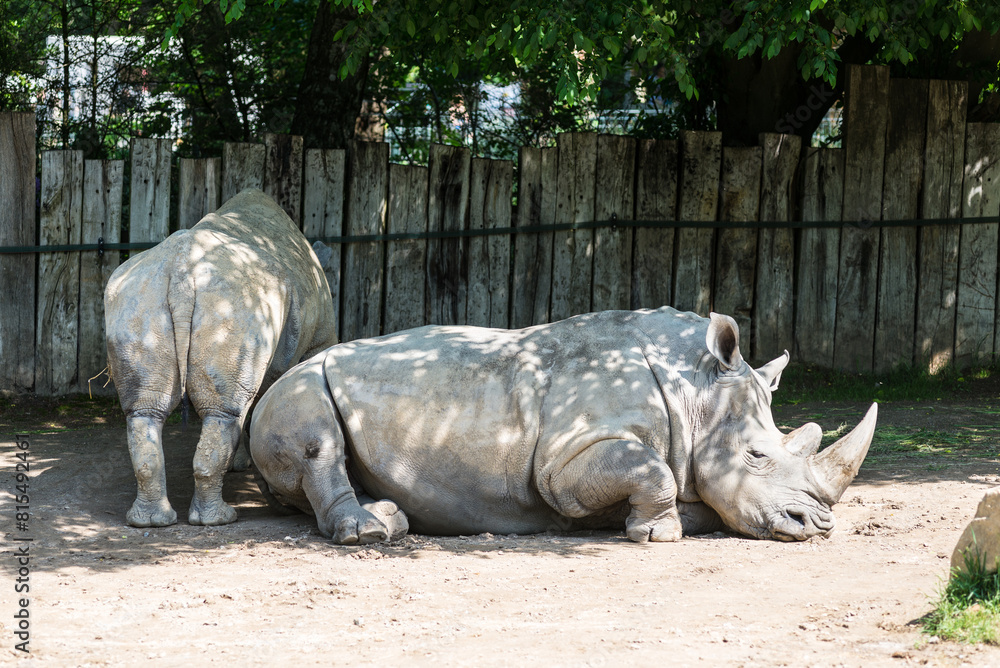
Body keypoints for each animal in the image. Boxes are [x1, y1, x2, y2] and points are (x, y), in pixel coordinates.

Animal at [105, 189, 338, 528]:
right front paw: (242, 464)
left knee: (145, 411)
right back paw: (219, 519)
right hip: (236, 304)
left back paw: (151, 521)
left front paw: (240, 463)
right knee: (226, 411)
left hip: (137, 297)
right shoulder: (317, 342)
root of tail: (181, 269)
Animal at [249, 307, 876, 544]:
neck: (695, 389)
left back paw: (388, 519)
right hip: (298, 383)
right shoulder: (562, 462)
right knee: (316, 438)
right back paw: (367, 533)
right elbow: (652, 470)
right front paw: (658, 534)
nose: (819, 525)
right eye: (756, 456)